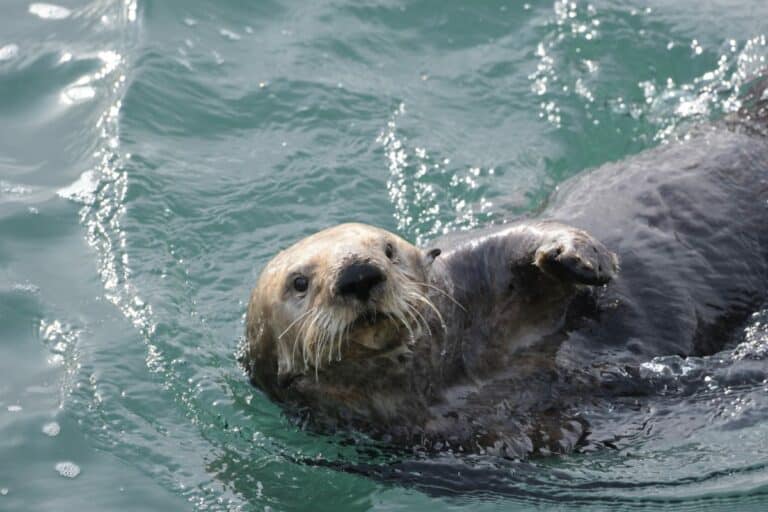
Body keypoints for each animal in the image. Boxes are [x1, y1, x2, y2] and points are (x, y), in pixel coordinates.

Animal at [242, 80, 768, 457]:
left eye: (388, 250)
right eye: (299, 282)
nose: (359, 274)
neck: (452, 374)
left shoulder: (474, 268)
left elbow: (520, 239)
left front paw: (581, 255)